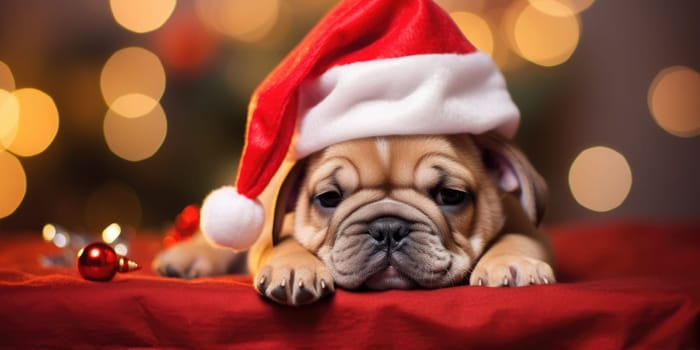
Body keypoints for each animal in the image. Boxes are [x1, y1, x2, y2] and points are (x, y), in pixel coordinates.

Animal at [150, 133, 556, 304]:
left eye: (451, 196)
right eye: (329, 198)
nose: (388, 228)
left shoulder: (524, 224)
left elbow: (518, 239)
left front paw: (513, 262)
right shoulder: (274, 236)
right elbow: (287, 246)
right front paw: (295, 268)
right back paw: (187, 258)